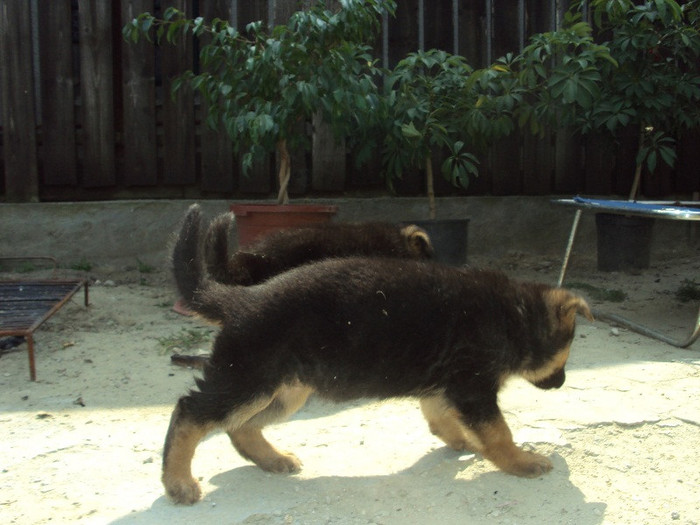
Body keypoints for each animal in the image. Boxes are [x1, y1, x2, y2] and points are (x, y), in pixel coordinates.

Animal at [163, 209, 592, 504]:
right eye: (567, 351)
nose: (562, 383)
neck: (513, 316)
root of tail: (243, 299)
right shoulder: (474, 389)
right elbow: (499, 432)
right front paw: (520, 461)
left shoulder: (446, 385)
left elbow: (440, 416)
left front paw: (461, 441)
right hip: (248, 378)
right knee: (190, 412)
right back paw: (177, 481)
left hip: (283, 390)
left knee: (238, 425)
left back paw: (271, 459)